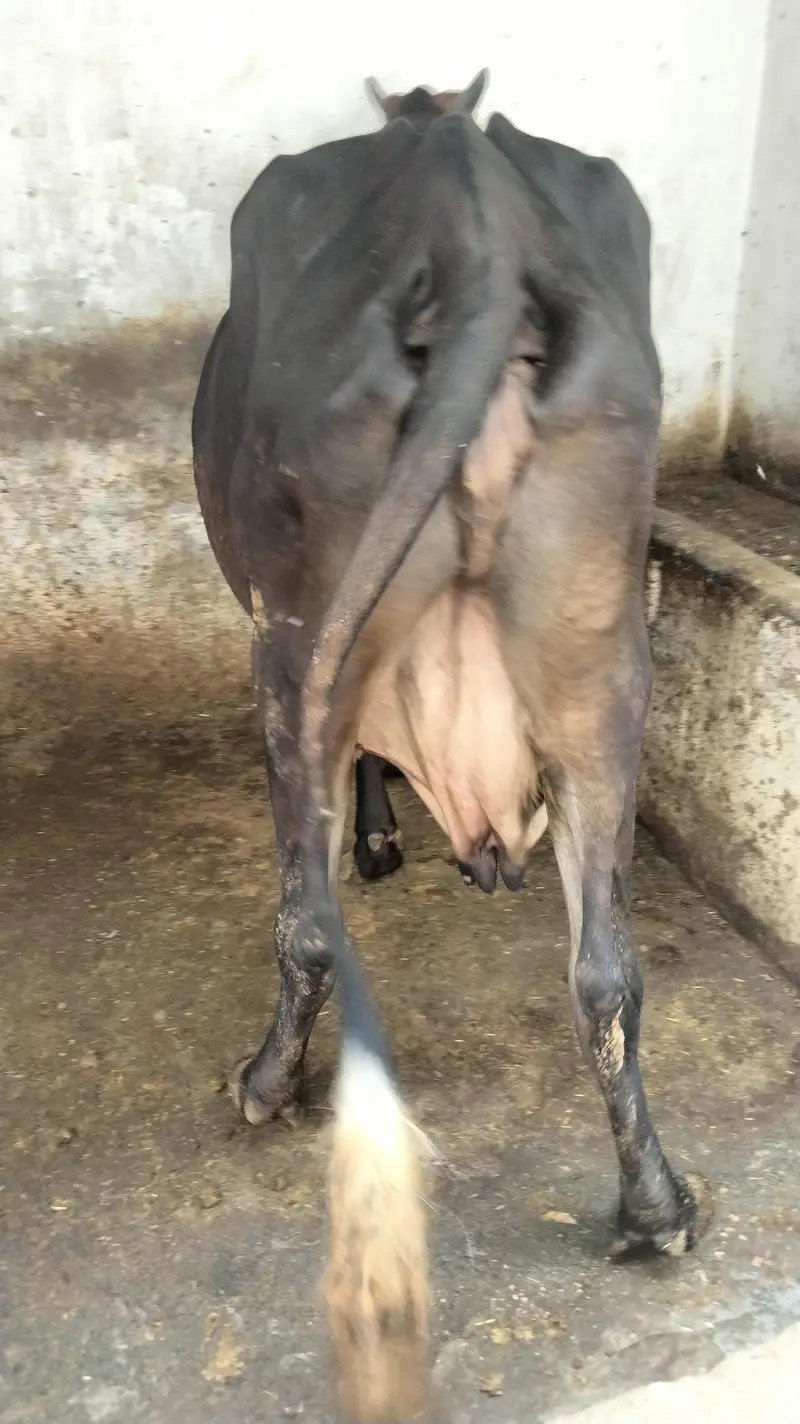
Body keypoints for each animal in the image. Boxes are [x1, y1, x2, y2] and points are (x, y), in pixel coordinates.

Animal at [192, 70, 712, 1421]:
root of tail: (473, 228)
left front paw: (377, 840)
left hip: (293, 641)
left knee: (307, 922)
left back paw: (263, 1083)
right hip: (598, 664)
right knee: (607, 971)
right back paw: (654, 1209)